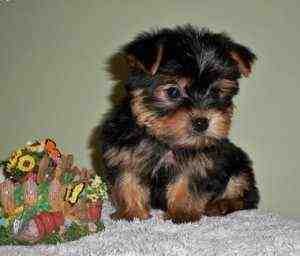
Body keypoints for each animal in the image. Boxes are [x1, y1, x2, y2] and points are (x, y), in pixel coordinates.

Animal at [92, 24, 258, 224]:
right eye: (173, 91)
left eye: (216, 92)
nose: (201, 122)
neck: (163, 140)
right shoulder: (123, 151)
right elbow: (127, 180)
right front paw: (132, 213)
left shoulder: (200, 162)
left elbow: (187, 184)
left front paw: (181, 213)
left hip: (238, 164)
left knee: (245, 194)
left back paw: (221, 204)